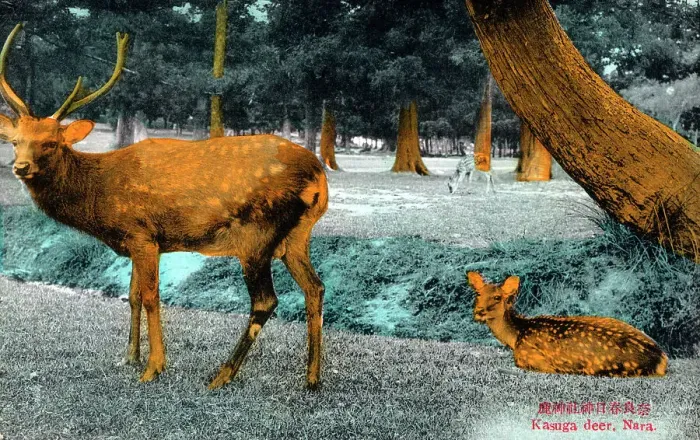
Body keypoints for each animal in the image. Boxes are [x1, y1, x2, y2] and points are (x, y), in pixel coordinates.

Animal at [0, 23, 328, 390]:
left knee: (265, 301)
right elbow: (131, 295)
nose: (21, 167)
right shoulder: (136, 240)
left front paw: (153, 367)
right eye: (16, 142)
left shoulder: (142, 233)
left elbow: (150, 297)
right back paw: (312, 378)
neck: (100, 197)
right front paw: (129, 357)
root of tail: (319, 175)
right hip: (296, 236)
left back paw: (222, 375)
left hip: (257, 234)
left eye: (51, 143)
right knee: (315, 287)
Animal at [466, 272, 668, 377]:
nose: (479, 312)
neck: (516, 337)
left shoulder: (530, 358)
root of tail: (661, 357)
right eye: (478, 293)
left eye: (497, 297)